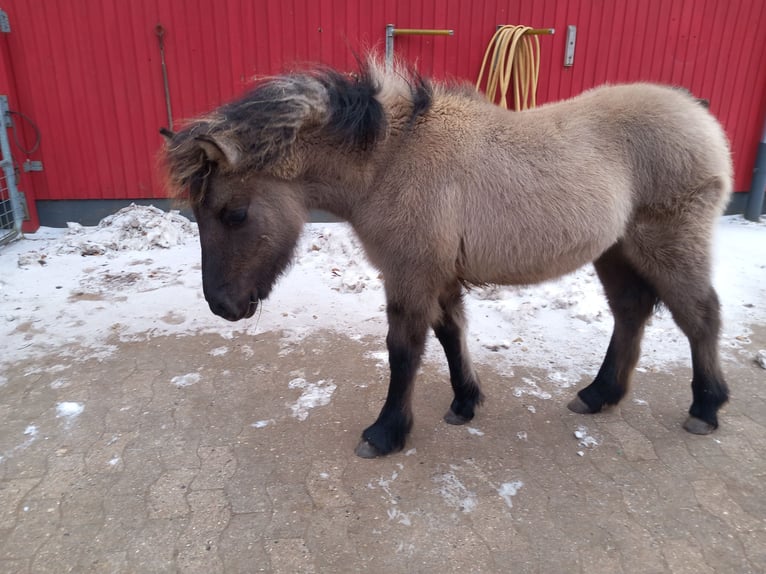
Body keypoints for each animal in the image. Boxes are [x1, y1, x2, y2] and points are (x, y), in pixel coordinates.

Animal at [161, 58, 732, 458]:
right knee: (631, 312)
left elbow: (404, 350)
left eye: (234, 213)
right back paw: (599, 395)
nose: (222, 305)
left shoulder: (409, 274)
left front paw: (386, 433)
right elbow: (450, 334)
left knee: (699, 315)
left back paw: (705, 406)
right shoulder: (438, 275)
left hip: (669, 243)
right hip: (615, 251)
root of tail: (700, 117)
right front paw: (464, 404)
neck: (393, 159)